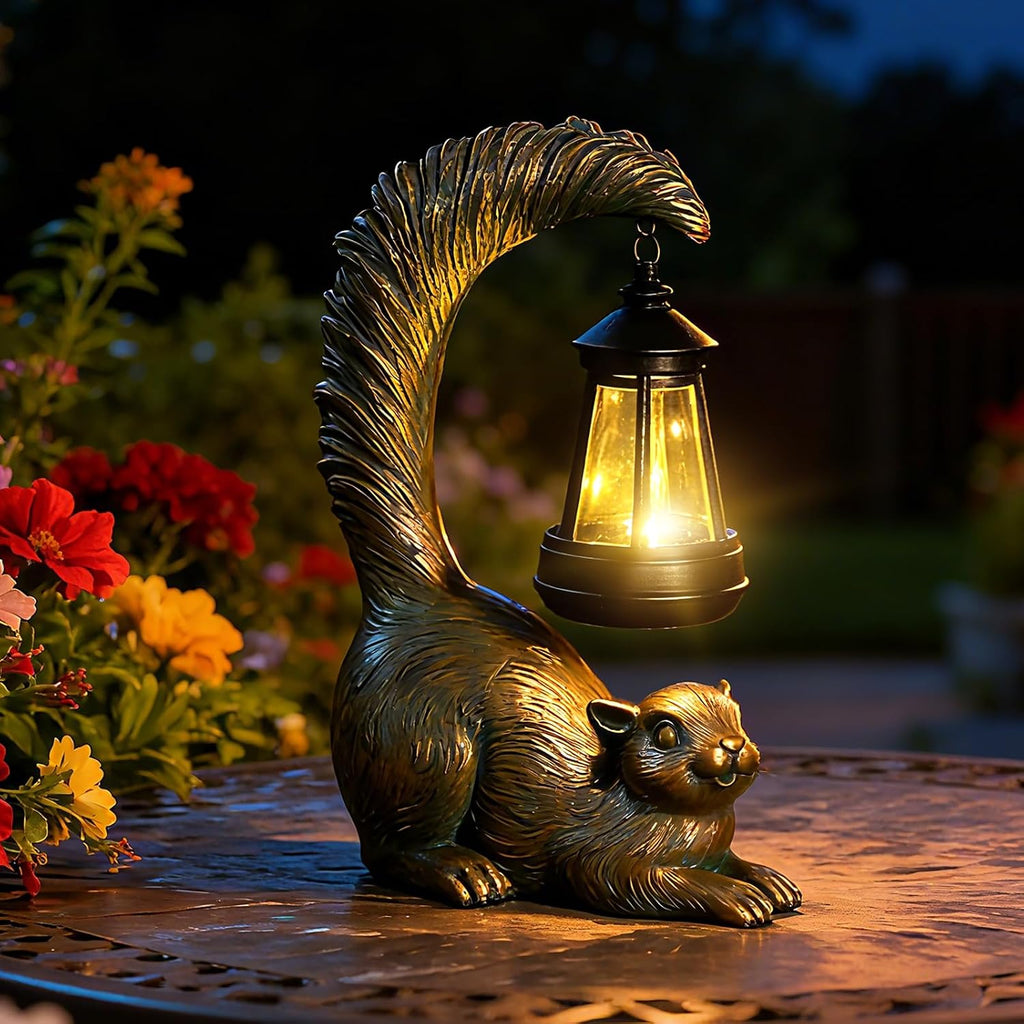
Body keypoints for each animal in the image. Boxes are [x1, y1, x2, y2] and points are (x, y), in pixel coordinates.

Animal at [315, 118, 801, 927]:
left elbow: (731, 859)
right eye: (666, 732)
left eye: (734, 720)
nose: (734, 751)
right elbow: (665, 882)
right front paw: (732, 895)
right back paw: (463, 871)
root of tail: (420, 591)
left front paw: (763, 876)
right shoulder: (600, 865)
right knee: (386, 850)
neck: (665, 813)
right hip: (429, 749)